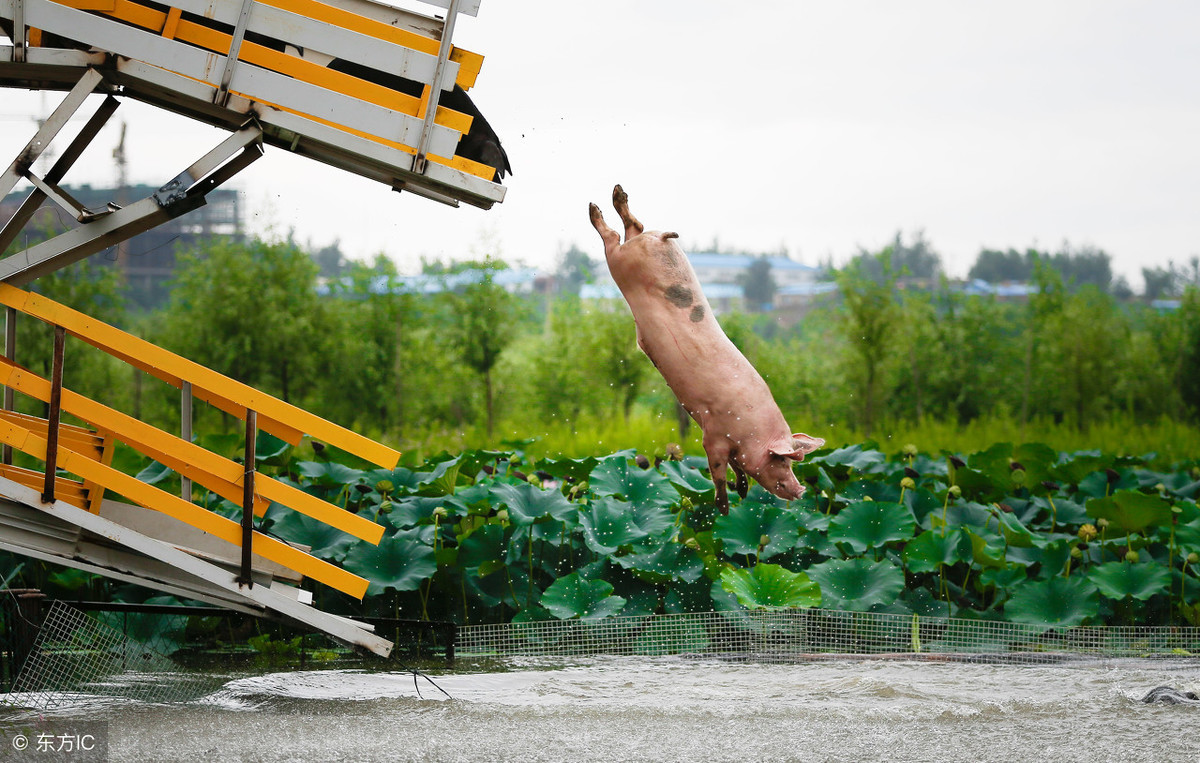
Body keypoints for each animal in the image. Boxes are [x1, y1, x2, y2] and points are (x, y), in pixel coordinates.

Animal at [590, 184, 825, 513]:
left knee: (633, 225)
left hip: (633, 247)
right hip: (619, 260)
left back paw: (617, 194)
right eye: (783, 462)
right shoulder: (713, 434)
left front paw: (742, 491)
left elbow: (738, 469)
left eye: (793, 462)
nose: (801, 490)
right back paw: (595, 207)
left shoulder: (730, 446)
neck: (751, 430)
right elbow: (717, 472)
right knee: (612, 237)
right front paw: (723, 508)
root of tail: (661, 239)